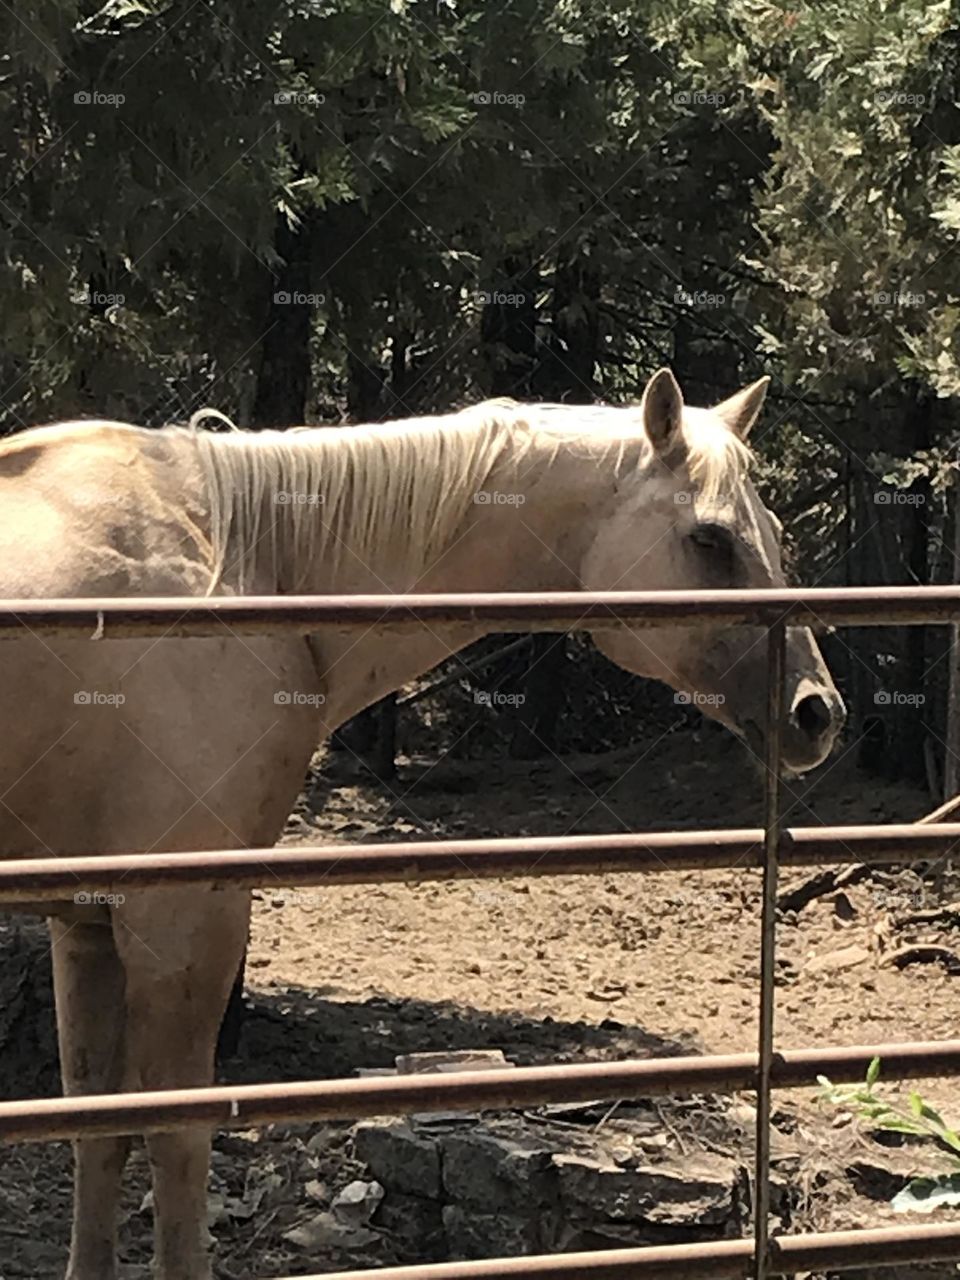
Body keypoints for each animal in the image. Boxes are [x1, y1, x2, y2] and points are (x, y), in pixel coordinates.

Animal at [0, 366, 839, 1274]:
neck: (246, 567)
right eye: (711, 539)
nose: (817, 711)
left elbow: (98, 1131)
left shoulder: (89, 920)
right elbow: (174, 1140)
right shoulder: (183, 918)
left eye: (775, 533)